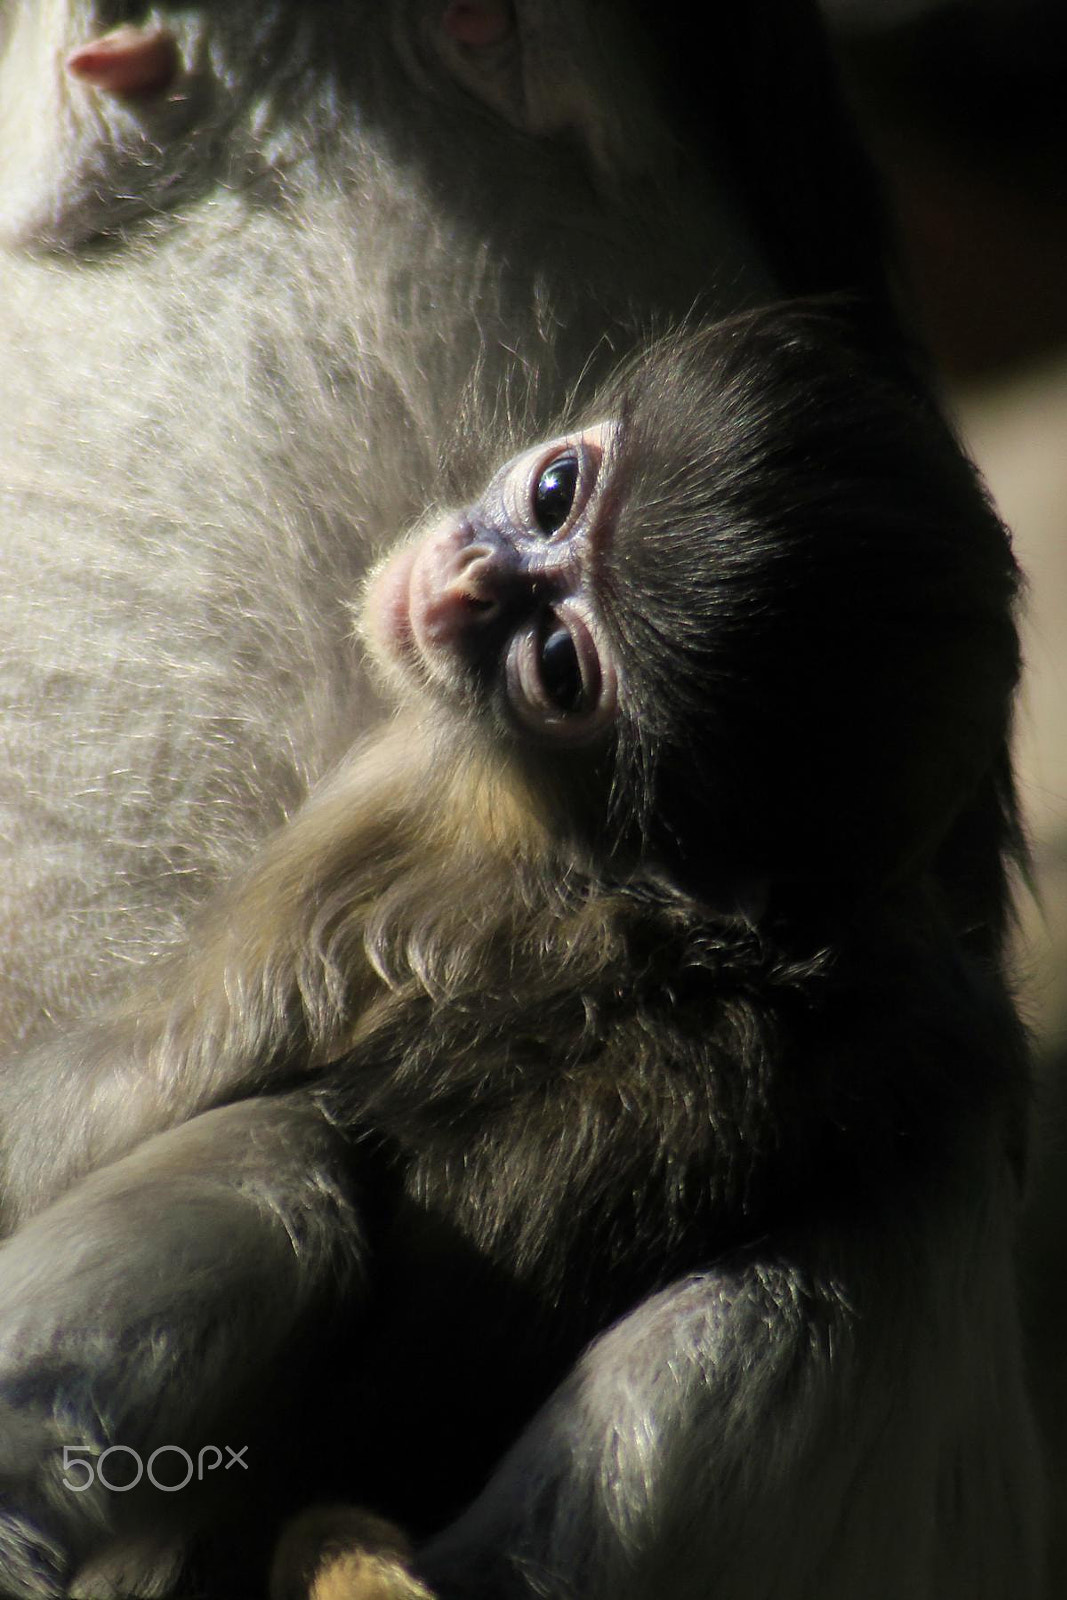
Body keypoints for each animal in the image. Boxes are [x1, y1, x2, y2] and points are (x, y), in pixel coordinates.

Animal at [0, 308, 1043, 1600]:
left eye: (555, 664)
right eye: (555, 491)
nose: (459, 583)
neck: (612, 875)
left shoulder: (392, 828)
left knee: (280, 1146)